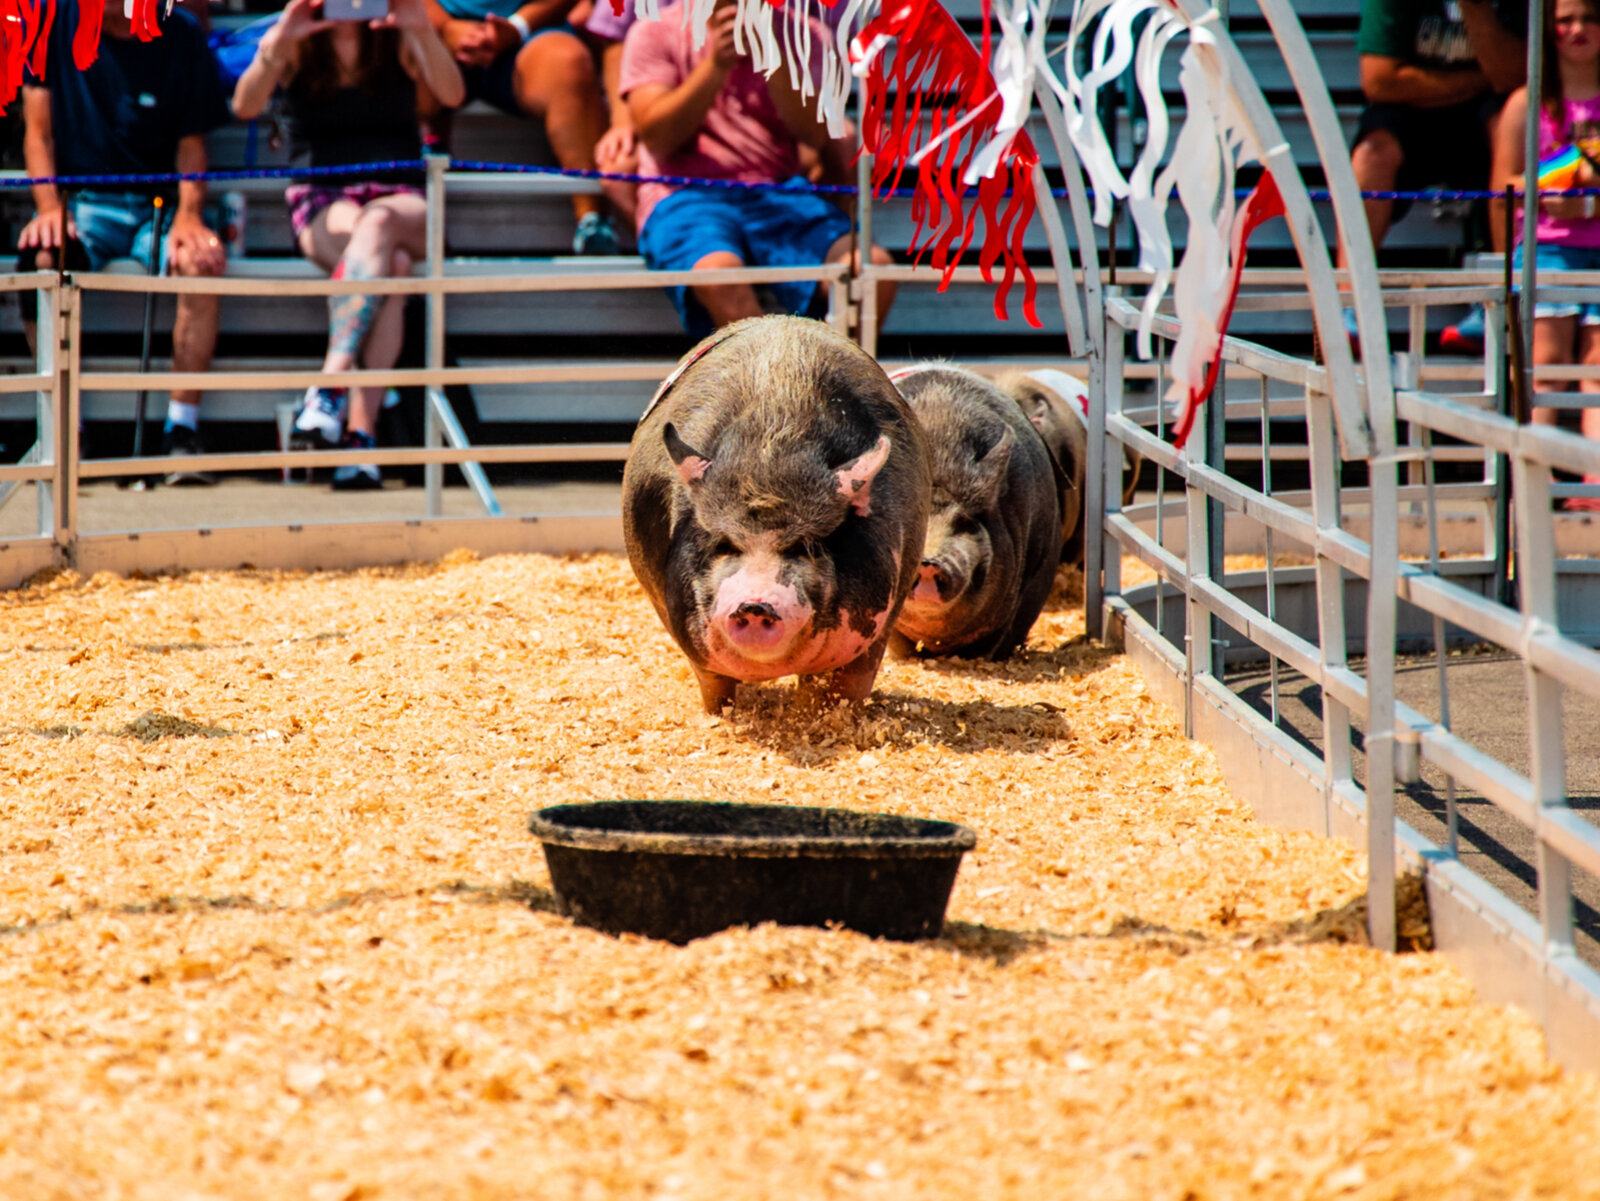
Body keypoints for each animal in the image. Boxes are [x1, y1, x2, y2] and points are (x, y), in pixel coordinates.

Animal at [617, 316, 934, 713]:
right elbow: (713, 684)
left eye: (806, 547)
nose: (755, 604)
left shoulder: (883, 617)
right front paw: (719, 715)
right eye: (724, 544)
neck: (770, 451)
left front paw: (832, 714)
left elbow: (851, 684)